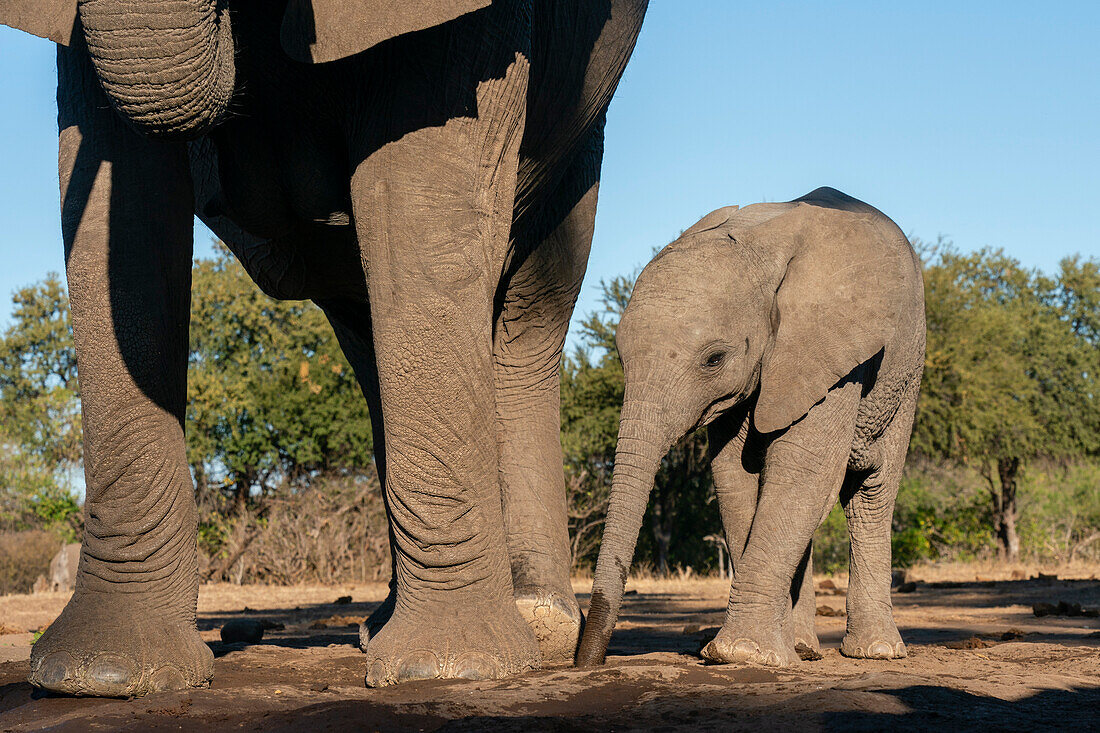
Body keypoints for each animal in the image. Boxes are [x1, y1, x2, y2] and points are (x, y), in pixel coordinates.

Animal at [0, 0, 646, 695]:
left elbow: (421, 195)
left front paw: (446, 669)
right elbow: (120, 210)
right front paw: (100, 673)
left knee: (530, 311)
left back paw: (539, 627)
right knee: (369, 337)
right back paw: (384, 627)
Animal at [576, 186, 928, 664]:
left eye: (713, 359)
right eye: (618, 356)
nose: (586, 661)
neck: (759, 255)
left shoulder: (832, 353)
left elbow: (804, 467)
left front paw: (739, 654)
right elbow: (736, 478)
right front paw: (764, 652)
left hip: (908, 367)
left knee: (871, 493)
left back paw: (876, 651)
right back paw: (804, 648)